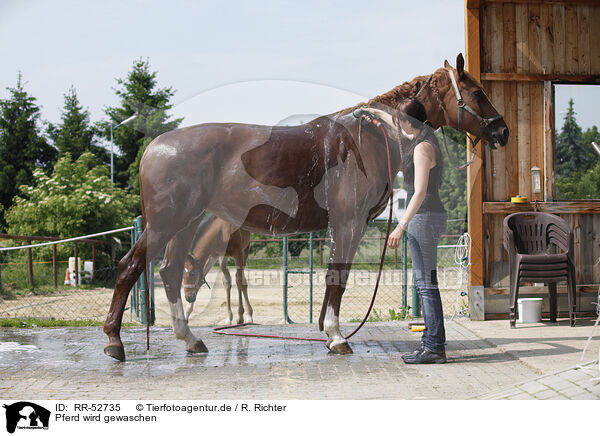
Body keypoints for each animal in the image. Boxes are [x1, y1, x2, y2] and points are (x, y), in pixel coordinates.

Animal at [103, 54, 506, 362]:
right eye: (476, 91)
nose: (501, 131)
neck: (372, 138)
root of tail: (155, 147)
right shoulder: (349, 223)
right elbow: (338, 276)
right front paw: (337, 337)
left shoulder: (340, 226)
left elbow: (331, 277)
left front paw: (328, 334)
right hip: (166, 223)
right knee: (130, 268)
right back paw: (115, 342)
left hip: (186, 222)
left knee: (170, 273)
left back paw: (190, 339)